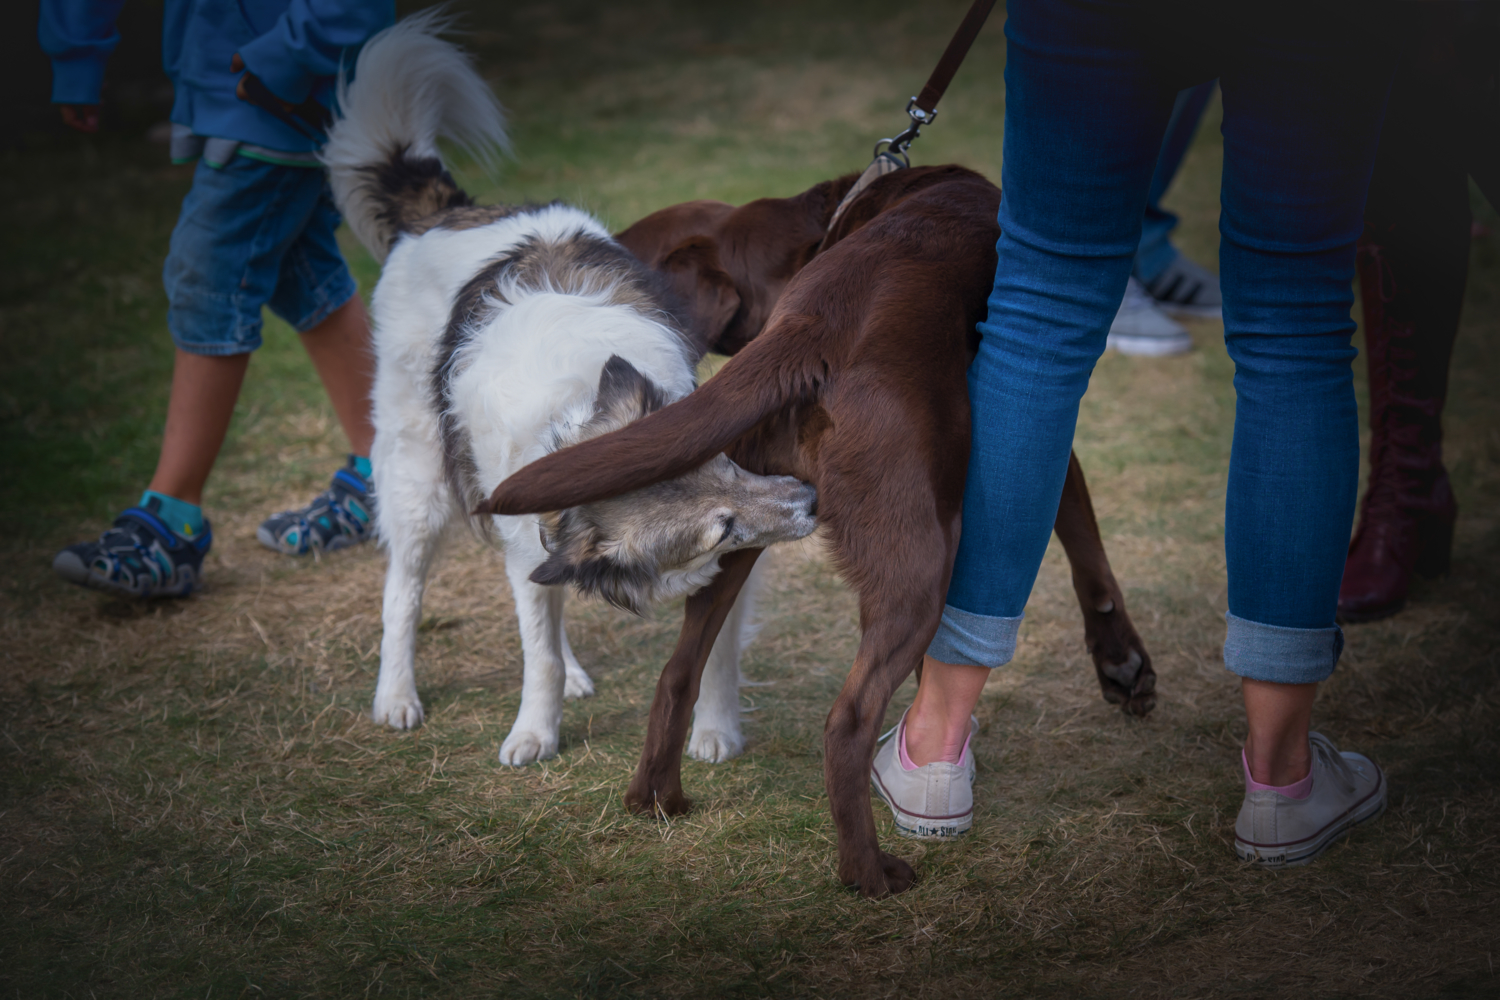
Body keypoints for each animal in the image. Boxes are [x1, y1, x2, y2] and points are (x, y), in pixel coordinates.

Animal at [318, 13, 822, 767]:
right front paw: (535, 732)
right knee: (403, 592)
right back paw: (397, 696)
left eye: (729, 466)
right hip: (417, 479)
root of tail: (446, 212)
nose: (810, 499)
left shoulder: (721, 565)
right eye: (721, 525)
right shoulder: (535, 539)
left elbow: (714, 652)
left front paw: (714, 730)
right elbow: (540, 654)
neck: (578, 415)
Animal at [480, 166, 1146, 899]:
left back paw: (657, 799)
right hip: (921, 561)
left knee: (678, 672)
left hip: (745, 526)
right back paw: (869, 872)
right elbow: (1085, 542)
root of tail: (814, 326)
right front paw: (1122, 662)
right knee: (846, 723)